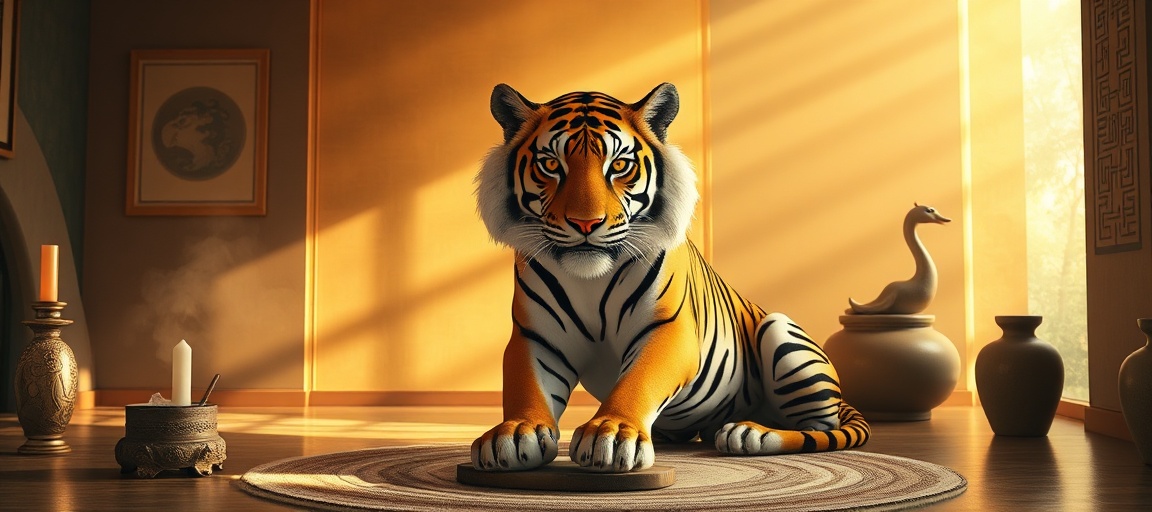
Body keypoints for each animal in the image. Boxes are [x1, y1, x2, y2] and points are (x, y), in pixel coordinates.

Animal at [471, 83, 870, 473]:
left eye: (620, 165)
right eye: (551, 164)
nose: (586, 223)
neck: (590, 281)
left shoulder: (668, 329)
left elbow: (639, 380)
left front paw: (612, 433)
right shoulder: (535, 337)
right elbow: (527, 386)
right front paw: (517, 432)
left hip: (780, 330)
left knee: (817, 428)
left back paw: (751, 433)